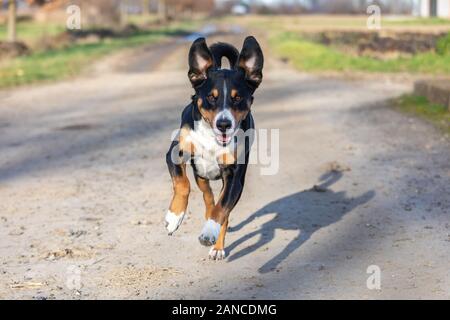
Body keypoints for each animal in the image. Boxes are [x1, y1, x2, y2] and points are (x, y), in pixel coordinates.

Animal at [165, 36, 264, 260]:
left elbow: (222, 210)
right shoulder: (175, 153)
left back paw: (217, 246)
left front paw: (209, 232)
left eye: (238, 98)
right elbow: (182, 184)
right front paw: (174, 217)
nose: (224, 124)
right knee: (208, 197)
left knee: (221, 209)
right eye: (211, 97)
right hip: (201, 175)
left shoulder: (235, 177)